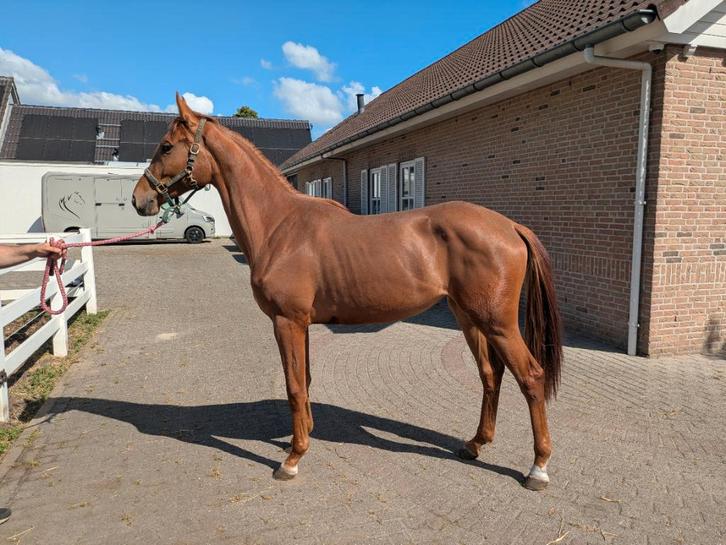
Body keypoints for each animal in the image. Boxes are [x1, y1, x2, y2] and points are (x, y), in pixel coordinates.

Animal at [132, 94, 562, 491]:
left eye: (166, 147)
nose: (139, 199)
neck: (280, 226)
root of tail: (509, 226)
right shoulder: (300, 324)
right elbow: (304, 382)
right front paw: (303, 436)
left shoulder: (287, 321)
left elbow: (293, 386)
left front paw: (291, 459)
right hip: (468, 317)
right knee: (491, 375)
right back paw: (474, 444)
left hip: (497, 322)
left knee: (531, 377)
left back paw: (538, 468)